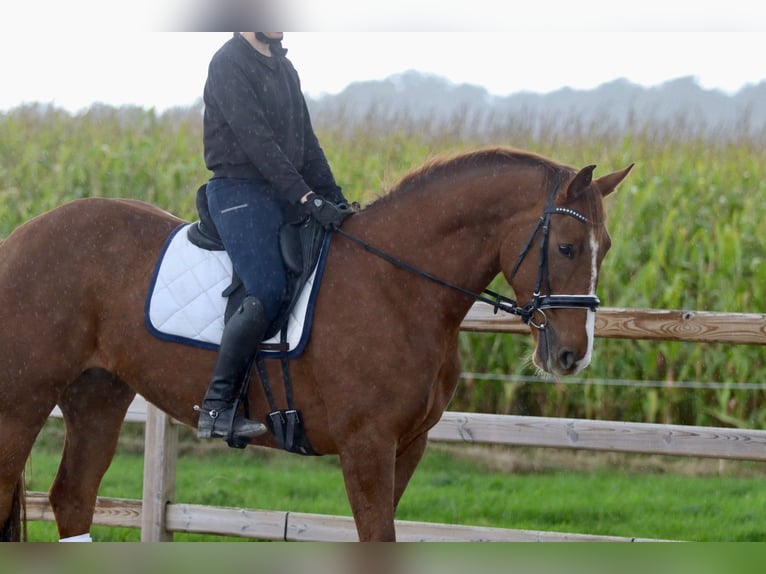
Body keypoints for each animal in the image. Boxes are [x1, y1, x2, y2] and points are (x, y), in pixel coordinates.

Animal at [0, 146, 632, 544]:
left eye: (605, 246)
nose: (572, 355)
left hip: (97, 394)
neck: (397, 284)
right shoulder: (366, 445)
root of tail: (22, 235)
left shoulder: (408, 446)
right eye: (568, 246)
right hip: (21, 403)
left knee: (72, 499)